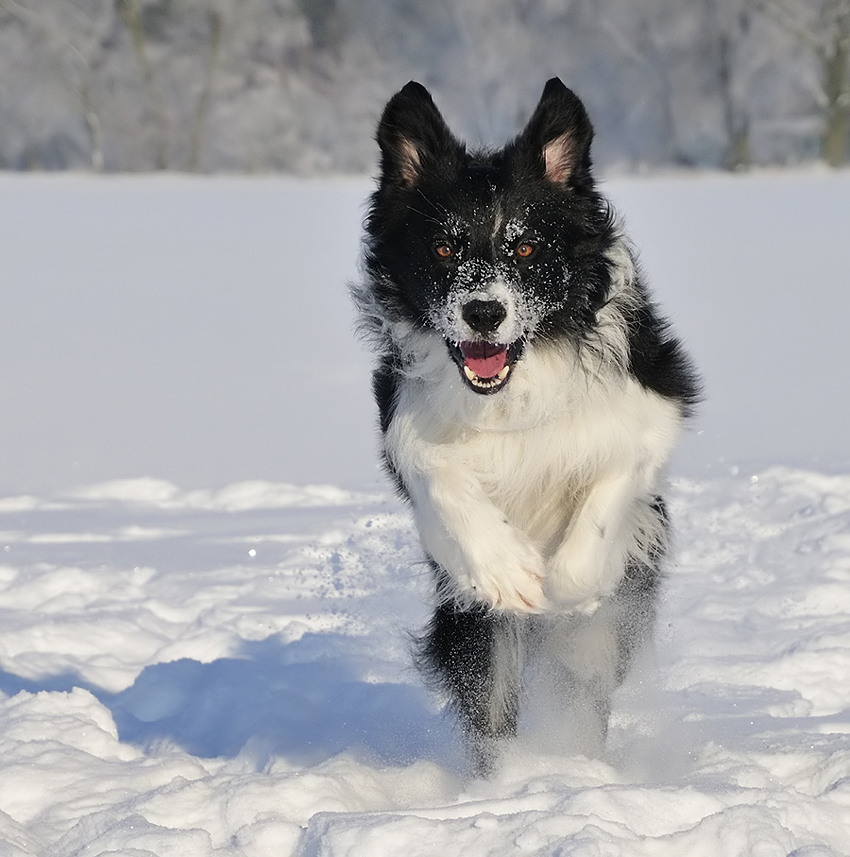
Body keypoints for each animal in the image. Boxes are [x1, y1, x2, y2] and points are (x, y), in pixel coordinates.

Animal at [352, 77, 696, 768]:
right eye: (443, 247)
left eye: (526, 246)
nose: (483, 312)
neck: (512, 388)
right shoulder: (406, 425)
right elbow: (438, 474)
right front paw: (507, 569)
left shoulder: (655, 408)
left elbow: (607, 490)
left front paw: (563, 588)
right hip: (471, 629)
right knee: (492, 705)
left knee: (585, 683)